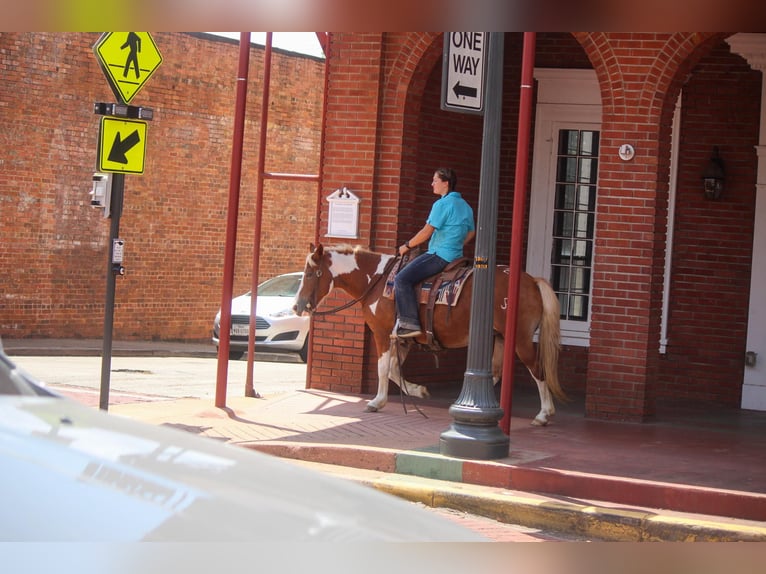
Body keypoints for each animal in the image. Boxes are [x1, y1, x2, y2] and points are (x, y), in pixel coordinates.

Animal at [292, 243, 568, 428]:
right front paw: (418, 391)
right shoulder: (402, 339)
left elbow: (383, 368)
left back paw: (543, 414)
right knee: (496, 373)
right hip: (499, 338)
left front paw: (377, 402)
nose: (296, 306)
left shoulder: (382, 333)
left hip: (520, 340)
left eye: (309, 273)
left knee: (538, 370)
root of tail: (532, 281)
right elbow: (393, 370)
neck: (378, 281)